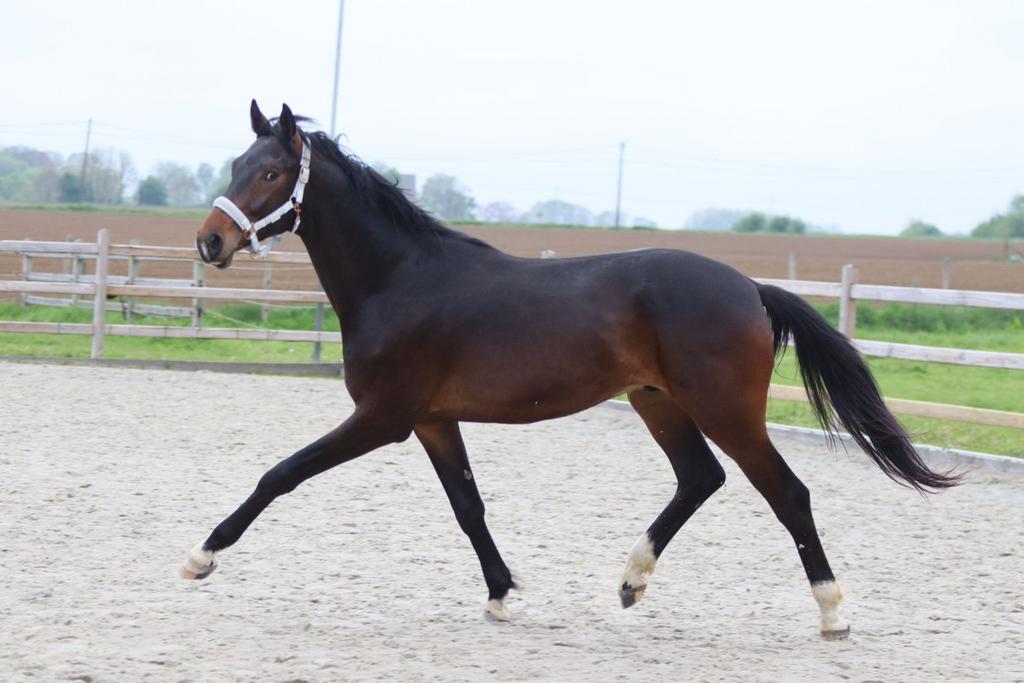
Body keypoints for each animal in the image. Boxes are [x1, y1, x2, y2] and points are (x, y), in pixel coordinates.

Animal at [182, 100, 959, 639]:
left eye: (272, 172)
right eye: (234, 166)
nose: (209, 242)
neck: (400, 279)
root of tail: (749, 287)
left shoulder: (382, 417)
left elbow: (280, 474)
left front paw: (201, 556)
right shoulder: (432, 421)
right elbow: (468, 506)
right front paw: (503, 595)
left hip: (725, 409)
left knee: (787, 493)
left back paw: (833, 613)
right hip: (658, 401)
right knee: (700, 478)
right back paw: (630, 582)